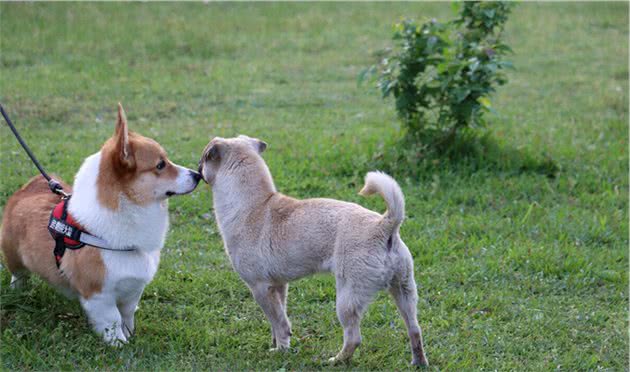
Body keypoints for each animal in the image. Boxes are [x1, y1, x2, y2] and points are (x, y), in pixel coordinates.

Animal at [0, 103, 201, 344]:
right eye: (160, 165)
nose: (198, 175)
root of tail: (28, 187)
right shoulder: (99, 295)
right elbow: (112, 320)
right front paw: (120, 344)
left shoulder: (133, 289)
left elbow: (127, 314)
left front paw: (130, 334)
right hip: (12, 254)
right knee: (18, 274)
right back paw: (18, 291)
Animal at [200, 135, 432, 364]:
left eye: (204, 159)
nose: (197, 169)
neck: (255, 205)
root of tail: (385, 225)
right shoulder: (278, 287)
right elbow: (278, 320)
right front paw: (277, 344)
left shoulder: (260, 289)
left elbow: (279, 323)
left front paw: (281, 350)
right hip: (404, 292)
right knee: (415, 330)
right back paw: (418, 362)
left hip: (347, 299)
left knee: (353, 337)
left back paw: (336, 360)